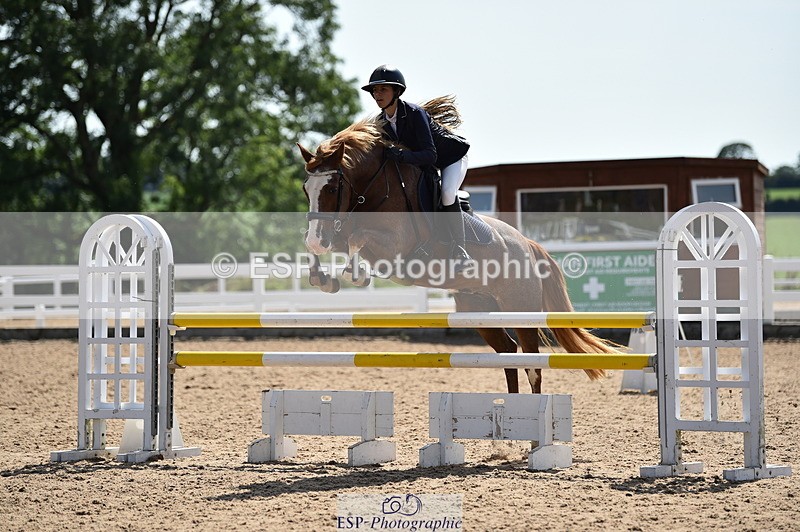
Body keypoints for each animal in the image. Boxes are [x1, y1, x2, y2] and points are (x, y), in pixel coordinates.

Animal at [296, 113, 620, 394]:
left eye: (332, 187)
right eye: (305, 189)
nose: (318, 239)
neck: (377, 187)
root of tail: (527, 244)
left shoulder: (394, 246)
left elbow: (357, 238)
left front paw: (355, 275)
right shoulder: (340, 230)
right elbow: (329, 241)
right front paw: (322, 277)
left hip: (520, 308)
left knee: (532, 364)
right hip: (477, 309)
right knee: (509, 353)